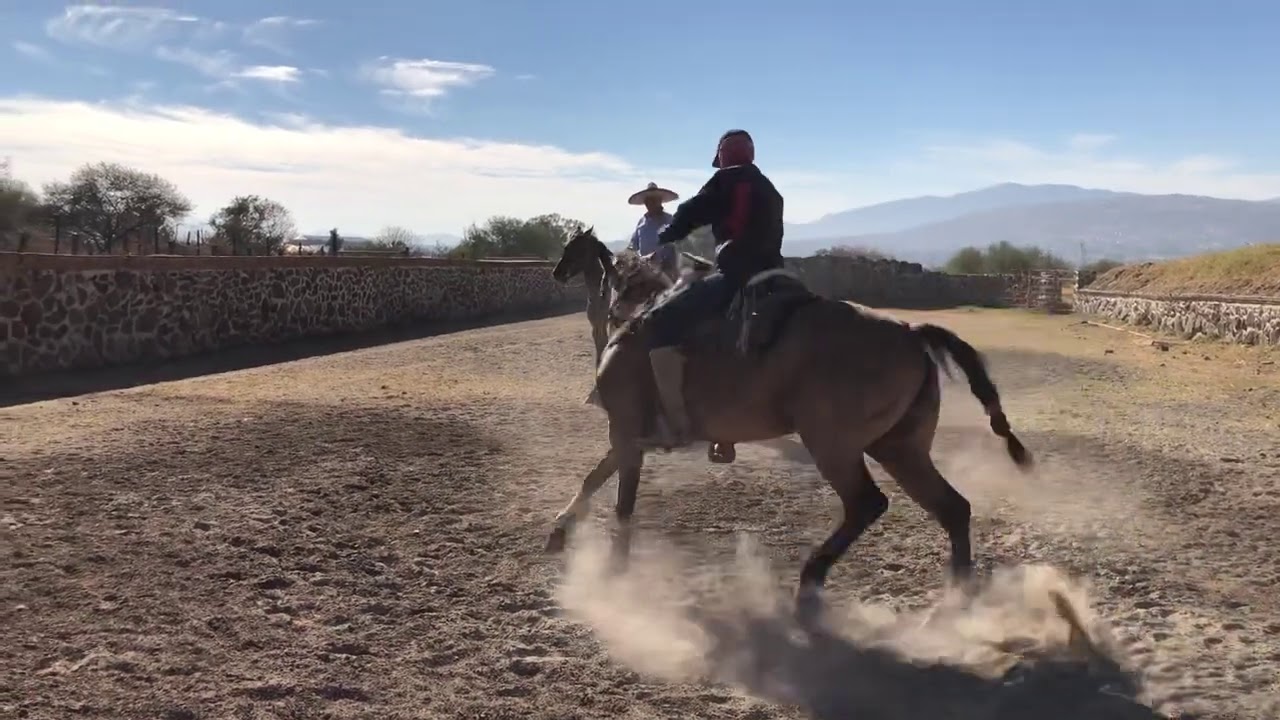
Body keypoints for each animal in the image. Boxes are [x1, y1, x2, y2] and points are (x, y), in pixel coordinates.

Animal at [545, 260, 1034, 617]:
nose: (604, 312)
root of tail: (911, 334)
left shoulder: (626, 430)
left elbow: (620, 499)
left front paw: (613, 568)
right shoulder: (628, 437)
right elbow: (596, 478)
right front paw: (560, 533)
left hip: (834, 445)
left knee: (867, 504)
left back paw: (810, 582)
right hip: (900, 448)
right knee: (952, 508)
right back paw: (958, 599)